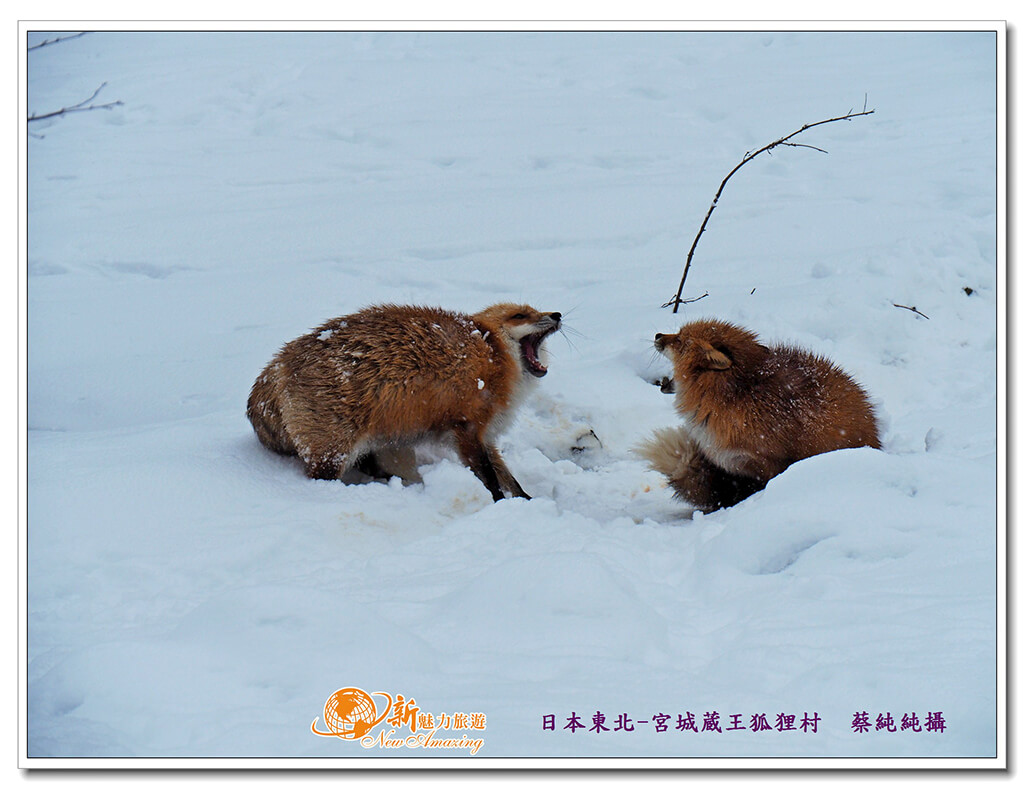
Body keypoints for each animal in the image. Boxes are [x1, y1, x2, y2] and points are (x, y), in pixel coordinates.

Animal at [246, 302, 561, 499]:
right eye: (520, 315)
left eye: (534, 310)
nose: (557, 314)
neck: (493, 355)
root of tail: (276, 366)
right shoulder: (467, 428)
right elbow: (489, 477)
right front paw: (499, 503)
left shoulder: (485, 436)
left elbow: (509, 477)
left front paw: (526, 501)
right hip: (332, 453)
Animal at [630, 319, 880, 511]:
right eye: (678, 334)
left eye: (680, 341)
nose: (658, 335)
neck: (736, 396)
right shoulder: (734, 467)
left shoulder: (769, 462)